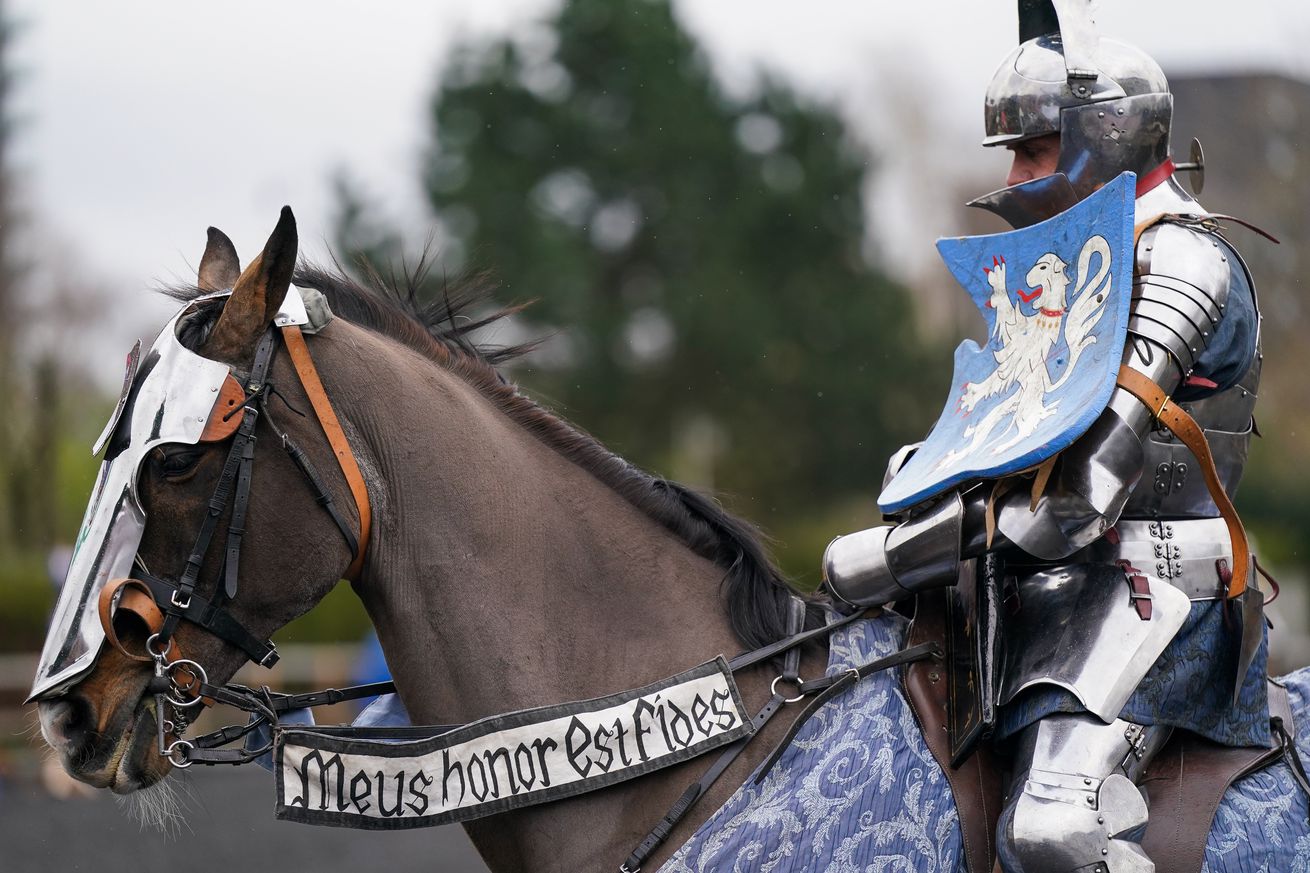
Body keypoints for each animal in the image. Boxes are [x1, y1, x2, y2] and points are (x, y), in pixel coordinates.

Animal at [937, 233, 1110, 469]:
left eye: (1043, 267)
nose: (1027, 278)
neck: (1045, 315)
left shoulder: (1015, 343)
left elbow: (1006, 315)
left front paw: (999, 281)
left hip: (1024, 411)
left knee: (1025, 431)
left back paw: (1000, 449)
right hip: (998, 414)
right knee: (977, 440)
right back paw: (955, 458)